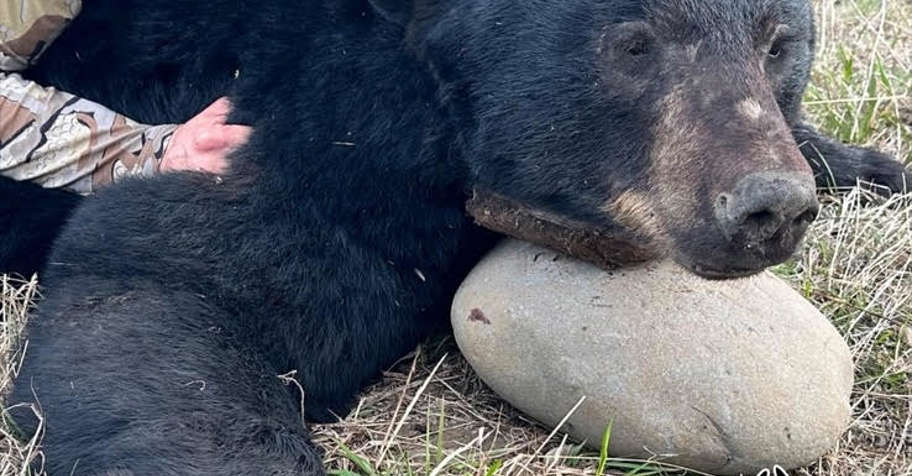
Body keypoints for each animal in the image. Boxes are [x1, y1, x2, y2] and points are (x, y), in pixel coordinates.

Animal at [1, 0, 908, 474]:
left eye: (776, 42)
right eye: (633, 44)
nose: (768, 206)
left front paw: (872, 164)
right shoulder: (309, 124)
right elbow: (165, 283)